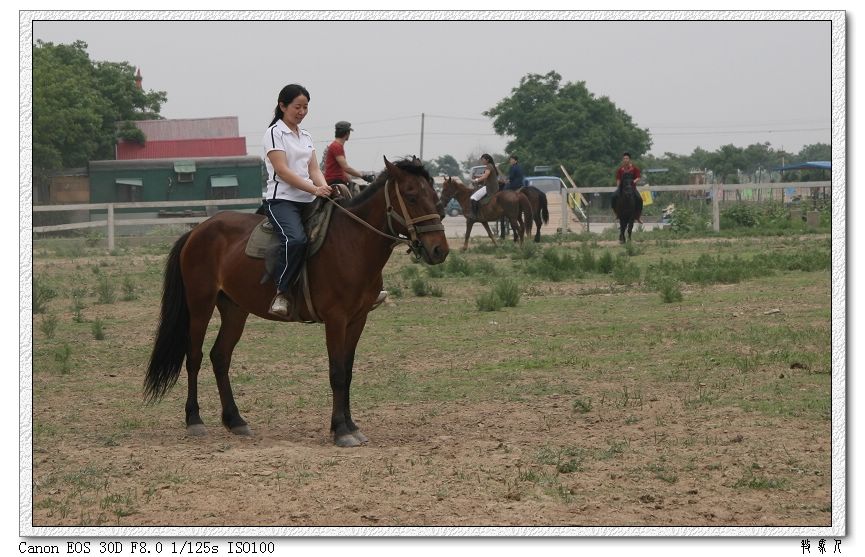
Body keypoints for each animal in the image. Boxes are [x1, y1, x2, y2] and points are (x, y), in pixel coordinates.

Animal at [143, 156, 448, 448]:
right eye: (411, 196)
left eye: (435, 195)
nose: (439, 250)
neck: (352, 242)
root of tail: (196, 231)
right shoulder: (336, 320)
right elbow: (337, 372)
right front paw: (340, 430)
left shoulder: (357, 319)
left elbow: (348, 372)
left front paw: (352, 426)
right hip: (200, 305)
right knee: (194, 357)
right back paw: (194, 420)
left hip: (234, 309)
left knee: (220, 356)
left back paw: (235, 420)